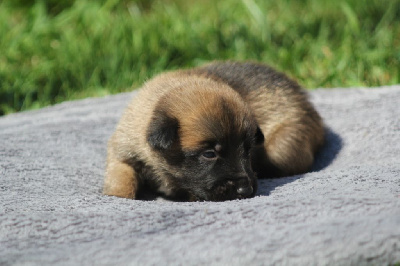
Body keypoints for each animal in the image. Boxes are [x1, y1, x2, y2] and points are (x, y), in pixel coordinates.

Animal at [103, 60, 324, 202]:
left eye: (248, 150)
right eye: (209, 154)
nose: (245, 189)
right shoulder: (123, 152)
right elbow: (121, 178)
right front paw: (119, 194)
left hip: (282, 150)